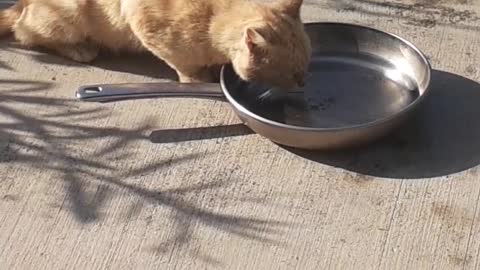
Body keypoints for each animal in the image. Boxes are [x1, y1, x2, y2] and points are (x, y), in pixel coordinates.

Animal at [0, 0, 312, 90]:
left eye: (305, 67)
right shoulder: (146, 24)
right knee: (25, 33)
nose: (303, 83)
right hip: (69, 15)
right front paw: (198, 80)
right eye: (291, 72)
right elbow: (185, 66)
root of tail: (23, 2)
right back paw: (81, 48)